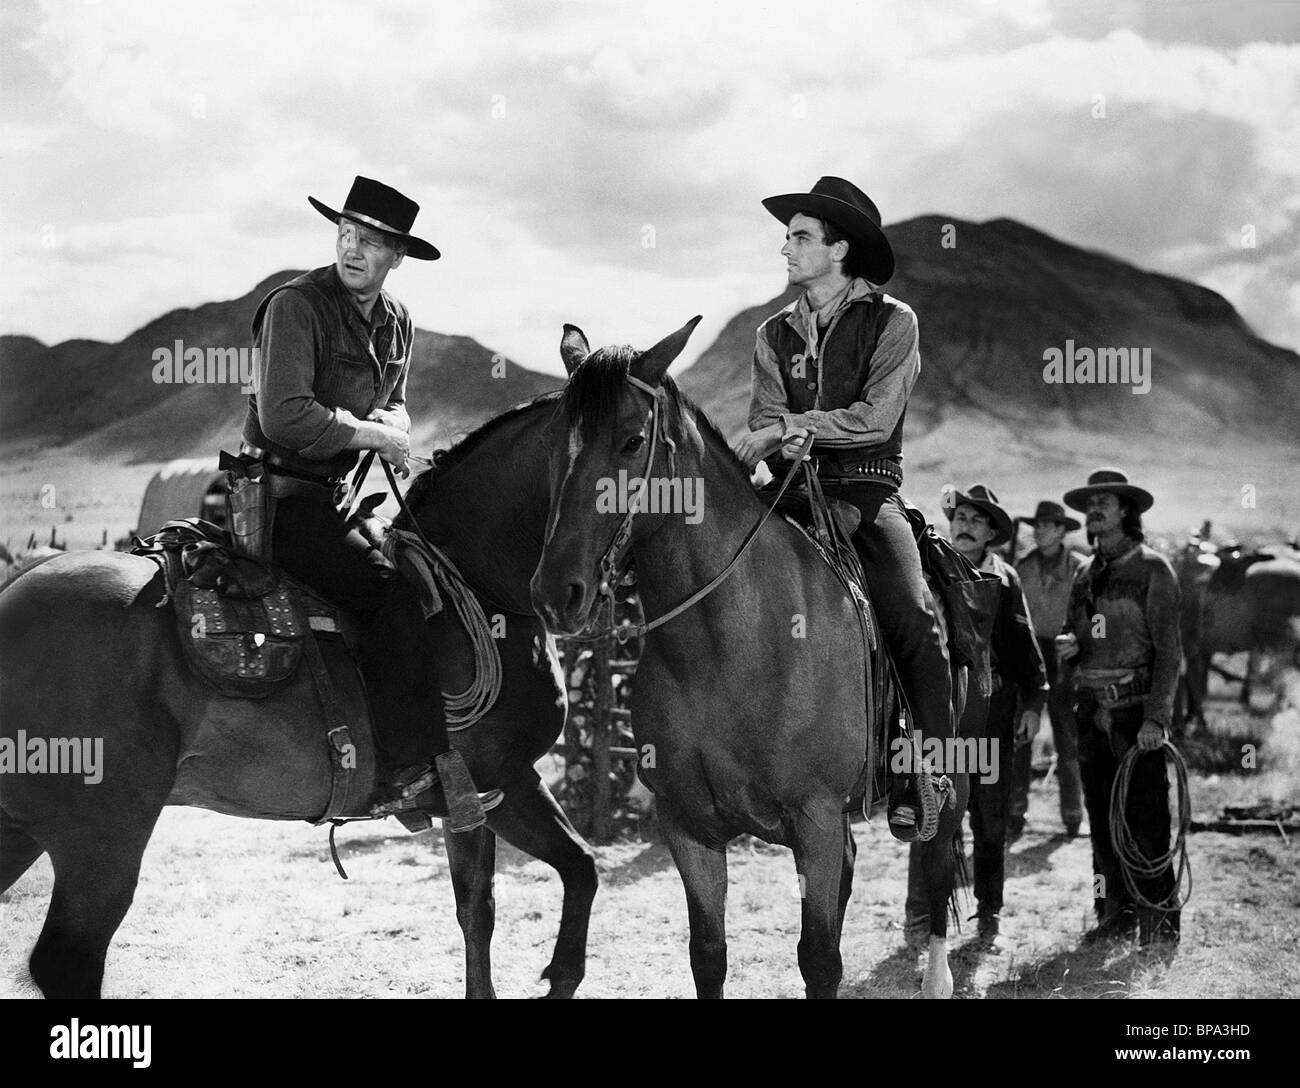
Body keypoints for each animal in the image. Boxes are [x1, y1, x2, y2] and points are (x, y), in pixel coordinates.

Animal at [0, 395, 598, 998]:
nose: (569, 597)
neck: (471, 588)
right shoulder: (493, 781)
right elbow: (505, 899)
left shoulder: (493, 791)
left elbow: (552, 878)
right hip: (103, 836)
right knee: (67, 960)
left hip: (21, 827)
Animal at [527, 318, 967, 998]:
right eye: (552, 442)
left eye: (632, 441)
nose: (556, 594)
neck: (728, 650)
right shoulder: (688, 827)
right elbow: (709, 954)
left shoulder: (815, 821)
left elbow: (820, 959)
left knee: (939, 851)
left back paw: (938, 977)